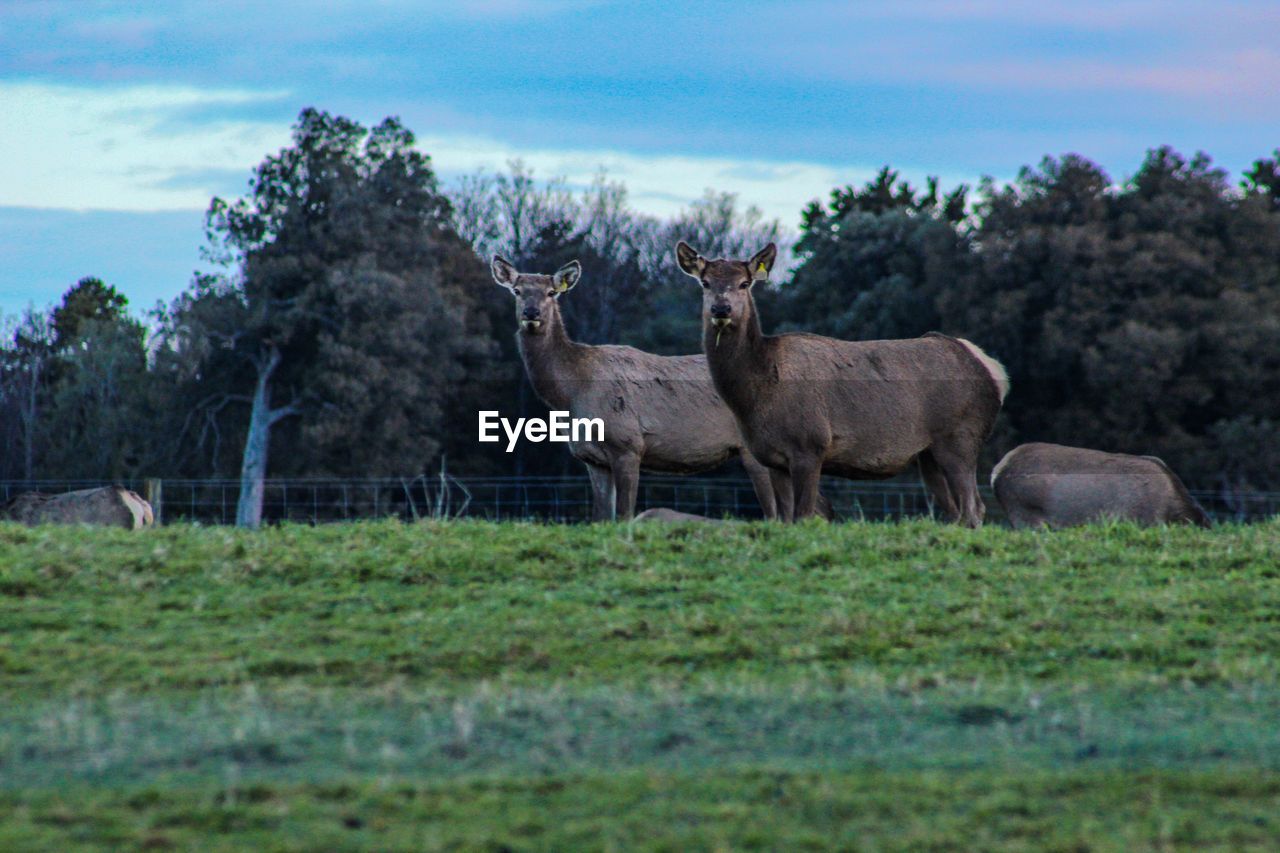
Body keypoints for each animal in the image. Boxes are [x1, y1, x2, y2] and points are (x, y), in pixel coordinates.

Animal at [491, 253, 798, 517]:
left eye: (551, 292)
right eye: (517, 291)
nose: (531, 313)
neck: (571, 395)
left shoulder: (627, 443)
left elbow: (625, 515)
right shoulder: (592, 459)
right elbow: (601, 518)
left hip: (753, 447)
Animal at [675, 235, 1013, 522]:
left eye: (744, 283)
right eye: (705, 282)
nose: (721, 308)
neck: (757, 395)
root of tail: (995, 371)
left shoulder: (810, 444)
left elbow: (803, 517)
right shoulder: (772, 458)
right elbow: (784, 519)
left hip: (961, 436)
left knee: (974, 508)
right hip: (927, 453)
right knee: (955, 512)